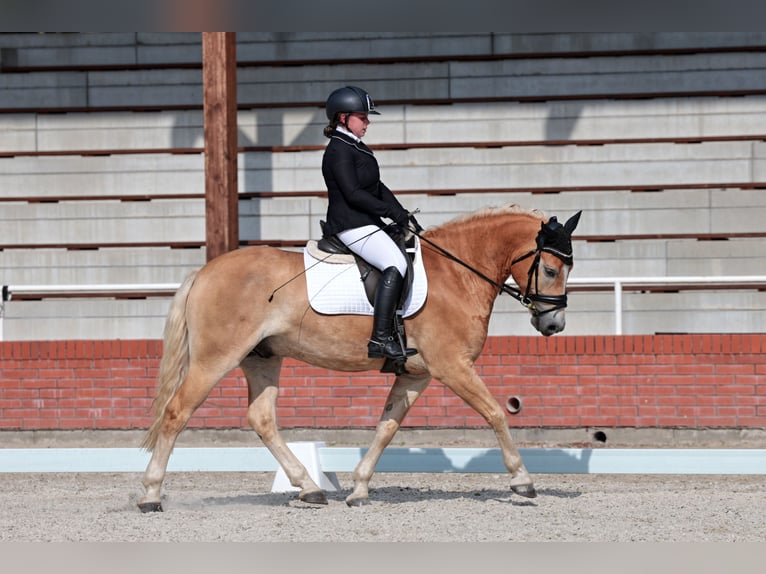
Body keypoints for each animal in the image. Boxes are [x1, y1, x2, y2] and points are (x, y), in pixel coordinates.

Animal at [138, 204, 584, 512]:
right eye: (549, 269)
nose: (554, 324)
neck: (458, 275)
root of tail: (204, 272)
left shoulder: (416, 374)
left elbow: (387, 427)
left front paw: (358, 489)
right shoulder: (452, 366)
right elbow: (494, 413)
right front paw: (522, 481)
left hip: (261, 358)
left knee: (261, 419)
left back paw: (310, 488)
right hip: (215, 358)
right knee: (176, 413)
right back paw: (151, 494)